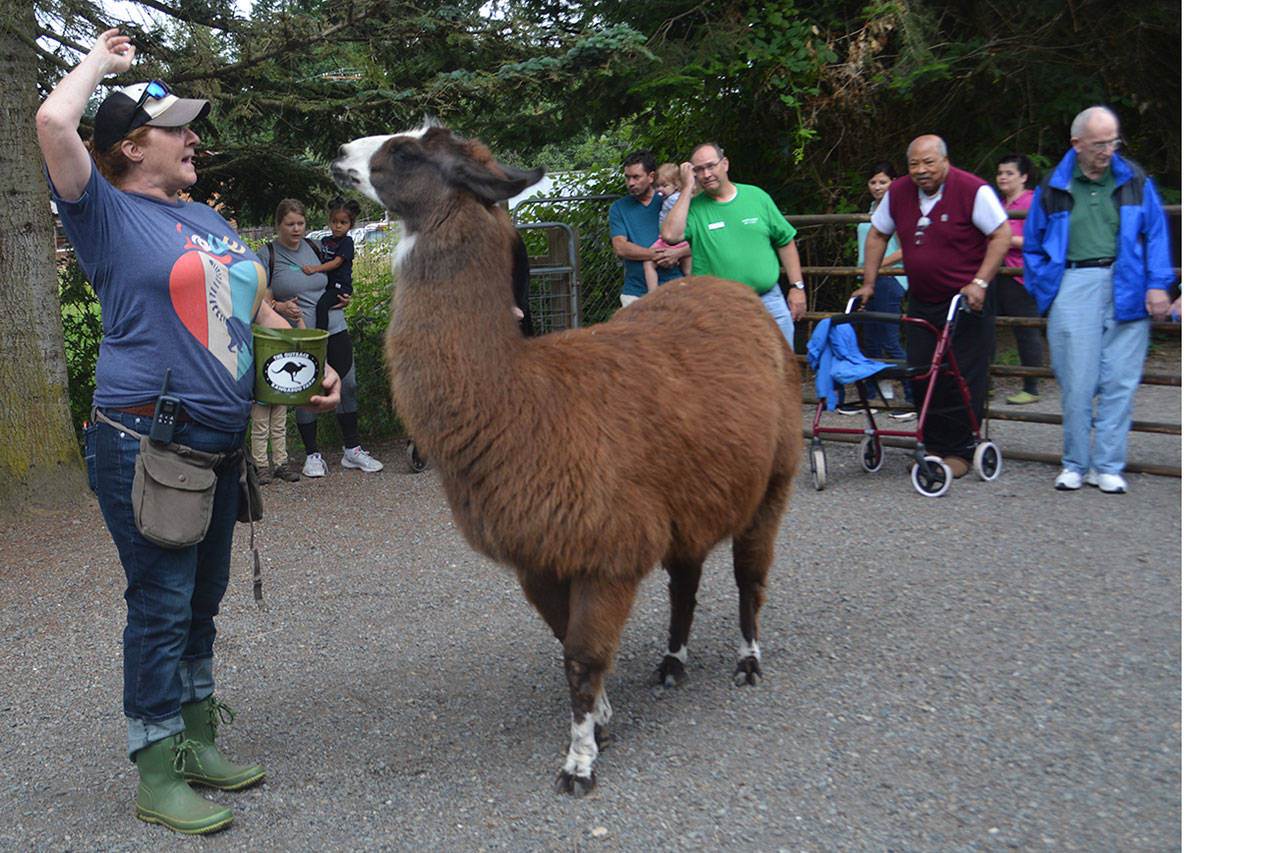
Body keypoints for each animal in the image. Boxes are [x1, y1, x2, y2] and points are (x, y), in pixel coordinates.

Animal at [330, 124, 802, 795]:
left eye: (407, 151)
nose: (340, 154)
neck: (525, 404)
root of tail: (741, 296)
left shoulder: (609, 547)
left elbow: (581, 657)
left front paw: (579, 762)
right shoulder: (538, 551)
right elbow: (566, 642)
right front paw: (603, 719)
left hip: (775, 474)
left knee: (749, 574)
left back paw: (748, 661)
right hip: (689, 493)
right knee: (686, 580)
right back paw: (672, 663)